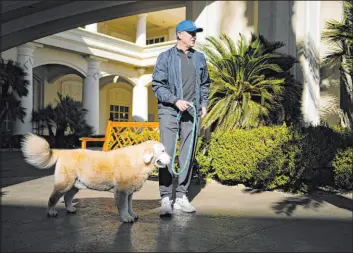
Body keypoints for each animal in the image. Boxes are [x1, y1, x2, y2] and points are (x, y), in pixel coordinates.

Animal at [20, 133, 170, 222]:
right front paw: (126, 217)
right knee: (53, 198)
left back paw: (70, 209)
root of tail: (64, 152)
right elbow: (123, 206)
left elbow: (129, 205)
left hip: (75, 185)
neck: (139, 160)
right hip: (64, 184)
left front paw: (131, 214)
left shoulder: (129, 192)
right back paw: (51, 212)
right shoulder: (121, 192)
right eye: (162, 151)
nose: (171, 159)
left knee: (67, 197)